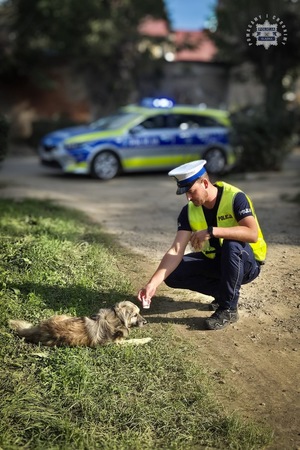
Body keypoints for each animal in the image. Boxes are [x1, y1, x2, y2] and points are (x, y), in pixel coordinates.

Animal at [8, 302, 152, 348]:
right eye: (135, 315)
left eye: (139, 313)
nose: (146, 322)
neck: (116, 317)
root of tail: (39, 330)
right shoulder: (116, 343)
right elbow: (134, 341)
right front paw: (147, 339)